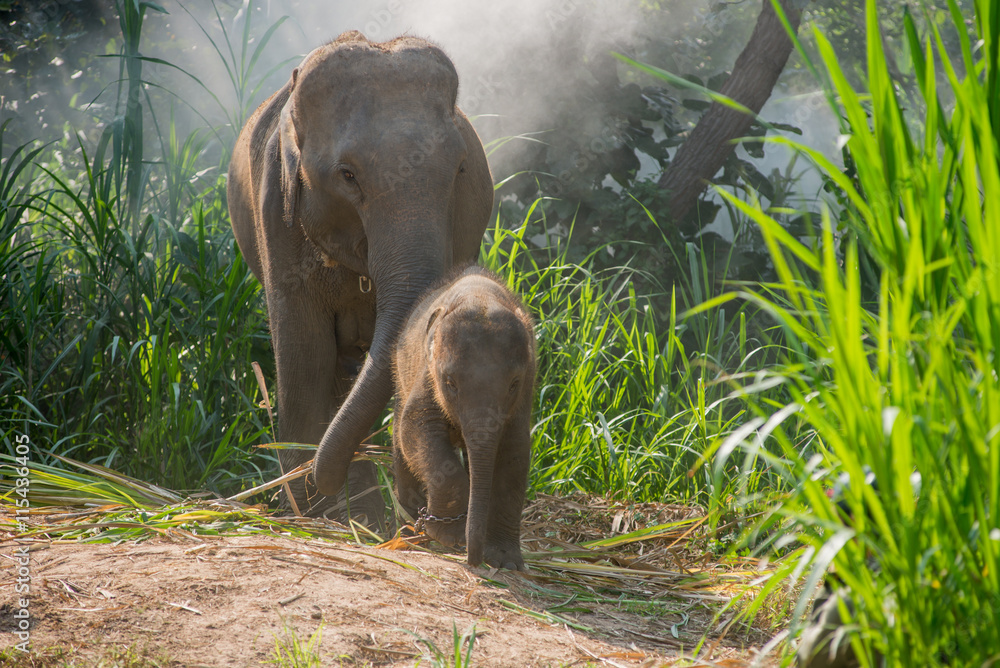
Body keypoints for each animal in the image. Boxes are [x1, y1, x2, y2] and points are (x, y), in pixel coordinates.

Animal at [227, 31, 493, 526]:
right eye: (347, 175)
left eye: (460, 170)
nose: (318, 479)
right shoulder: (277, 219)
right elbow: (304, 354)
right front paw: (309, 509)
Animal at [392, 265, 535, 570]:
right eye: (450, 383)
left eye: (514, 383)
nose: (473, 560)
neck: (480, 295)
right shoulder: (427, 371)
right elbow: (415, 426)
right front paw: (448, 536)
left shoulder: (526, 391)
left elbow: (515, 451)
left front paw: (505, 561)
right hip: (400, 371)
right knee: (400, 437)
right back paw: (409, 536)